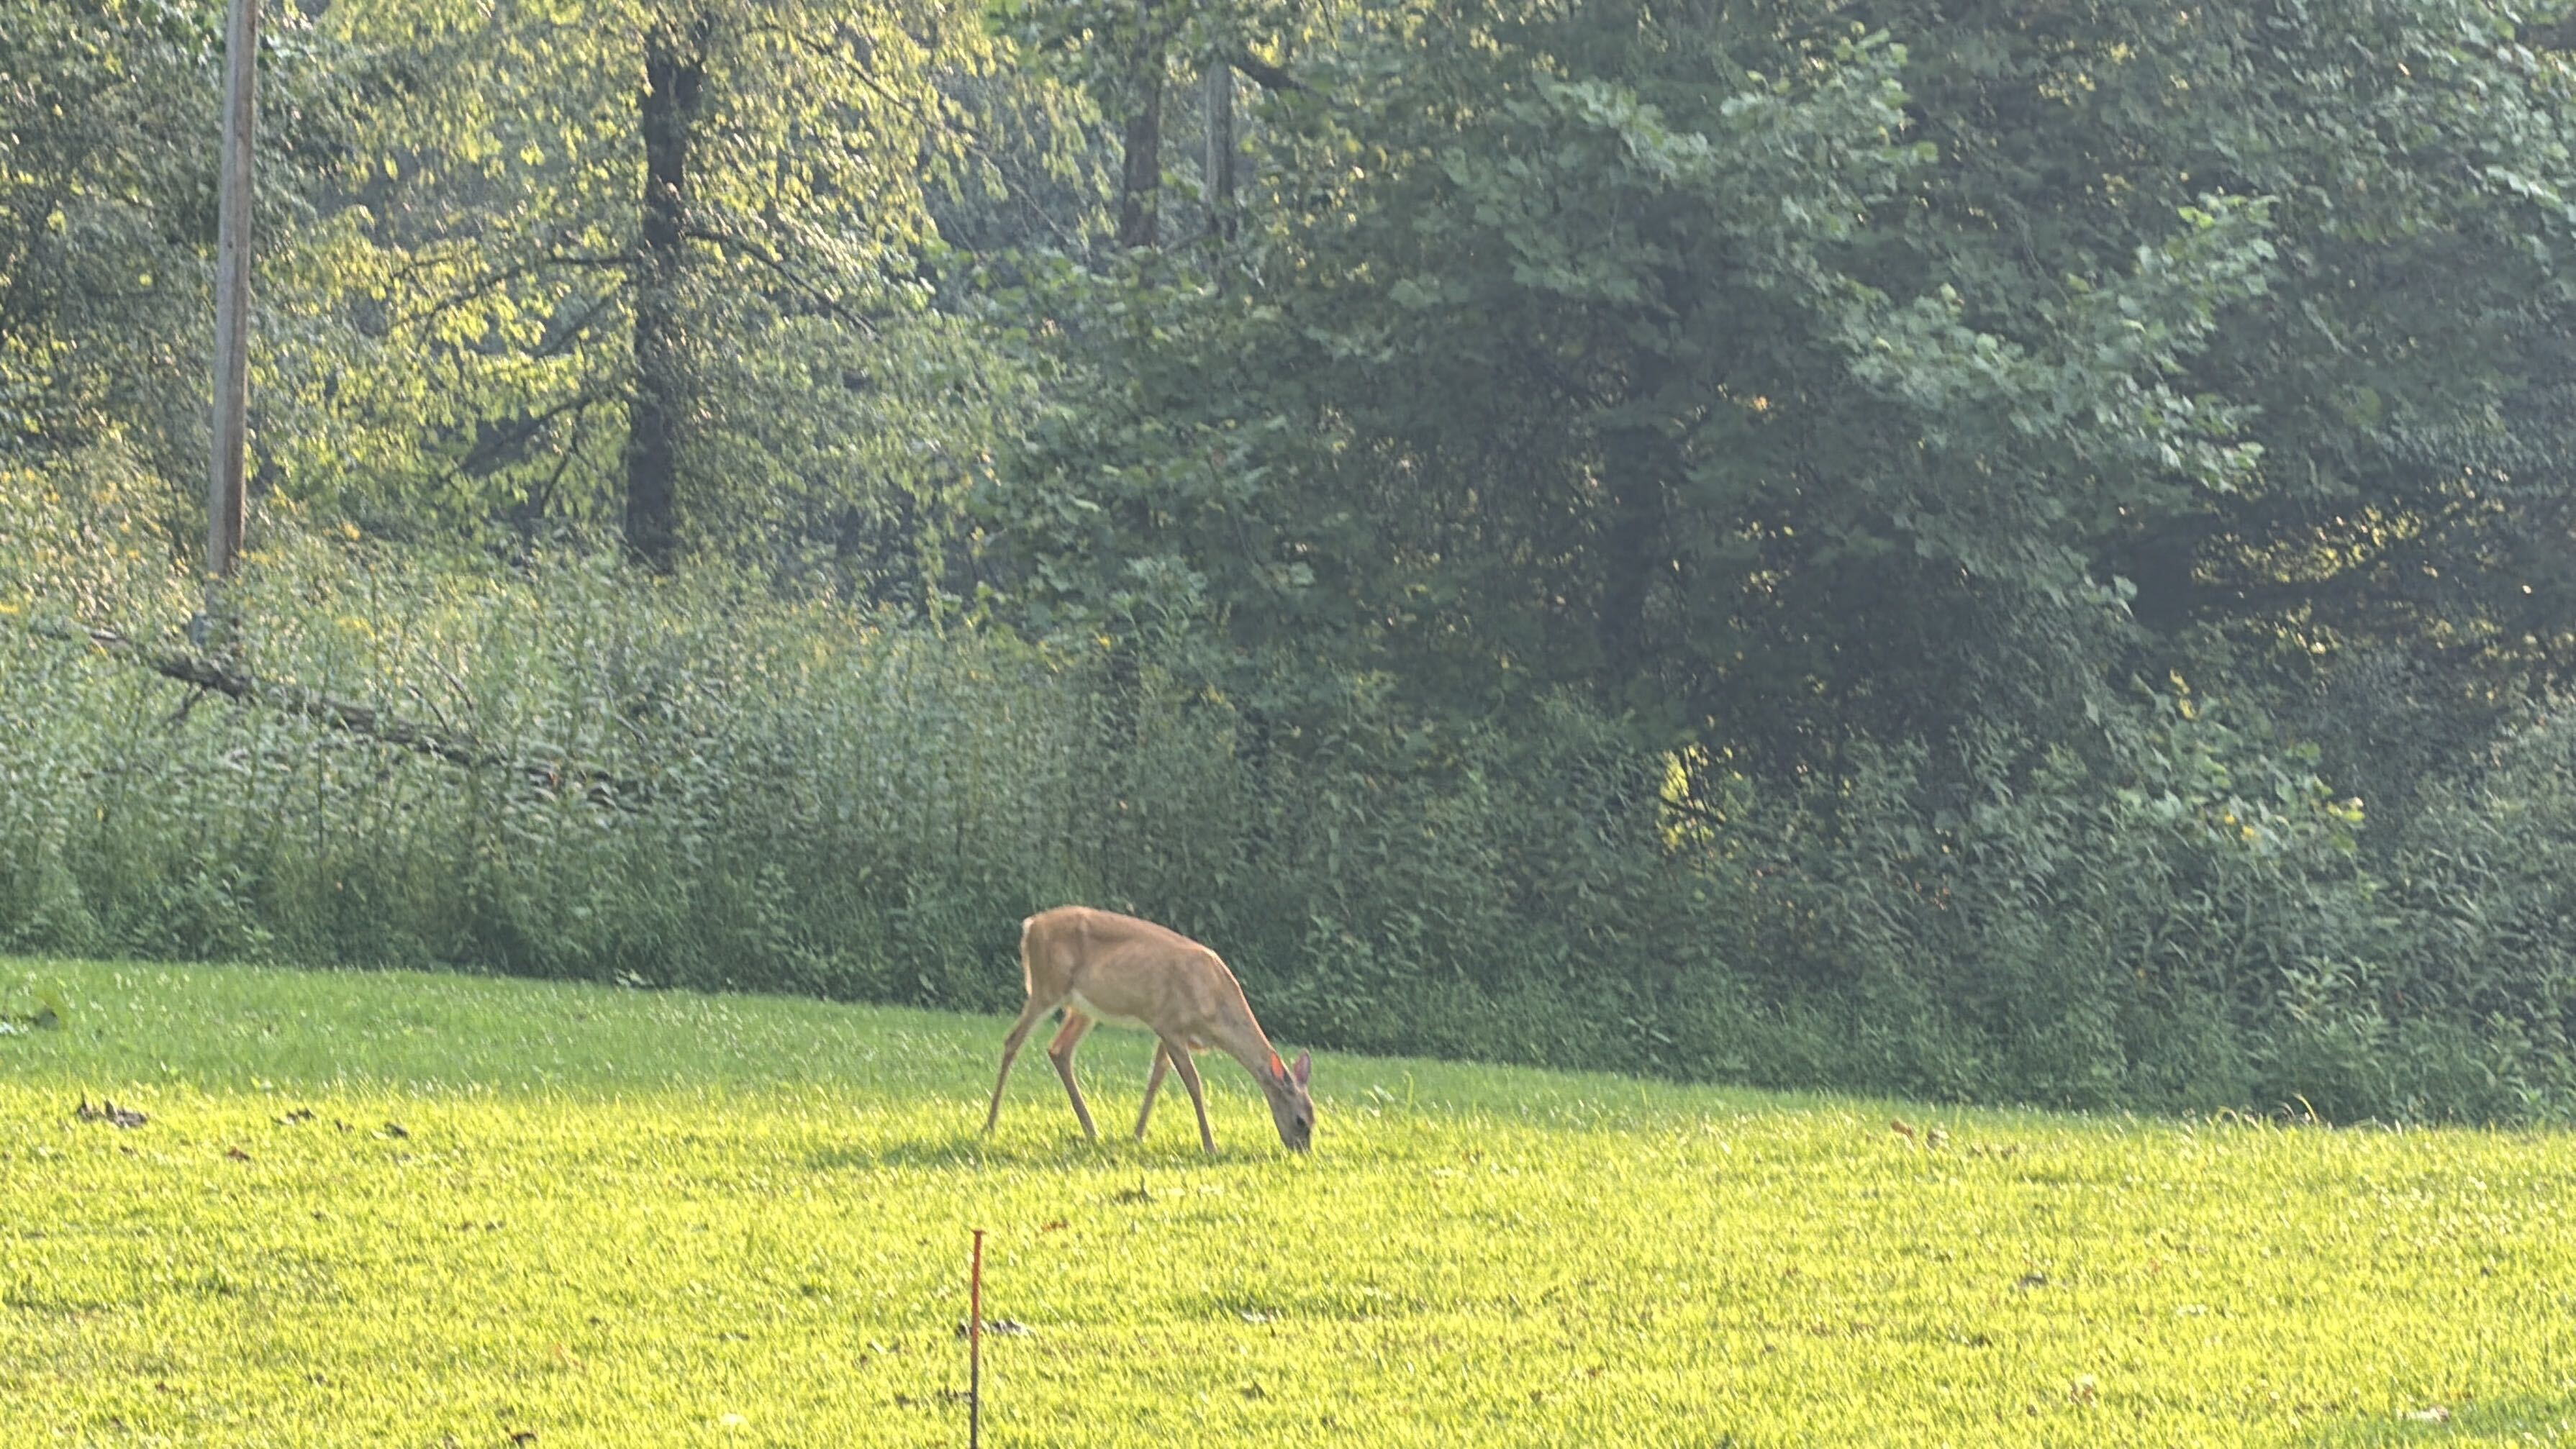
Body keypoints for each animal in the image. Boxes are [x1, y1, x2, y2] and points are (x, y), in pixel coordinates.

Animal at [982, 906, 1314, 1153]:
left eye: (1315, 1118)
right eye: (1301, 1121)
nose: (1302, 1151)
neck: (1215, 1007)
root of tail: (1031, 926)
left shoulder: (1169, 1031)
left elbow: (1156, 1078)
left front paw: (1138, 1134)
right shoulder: (1170, 1024)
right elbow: (1194, 1083)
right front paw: (1210, 1145)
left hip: (1084, 1008)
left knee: (1059, 1050)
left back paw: (1091, 1129)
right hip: (1047, 987)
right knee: (1013, 1041)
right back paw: (990, 1124)